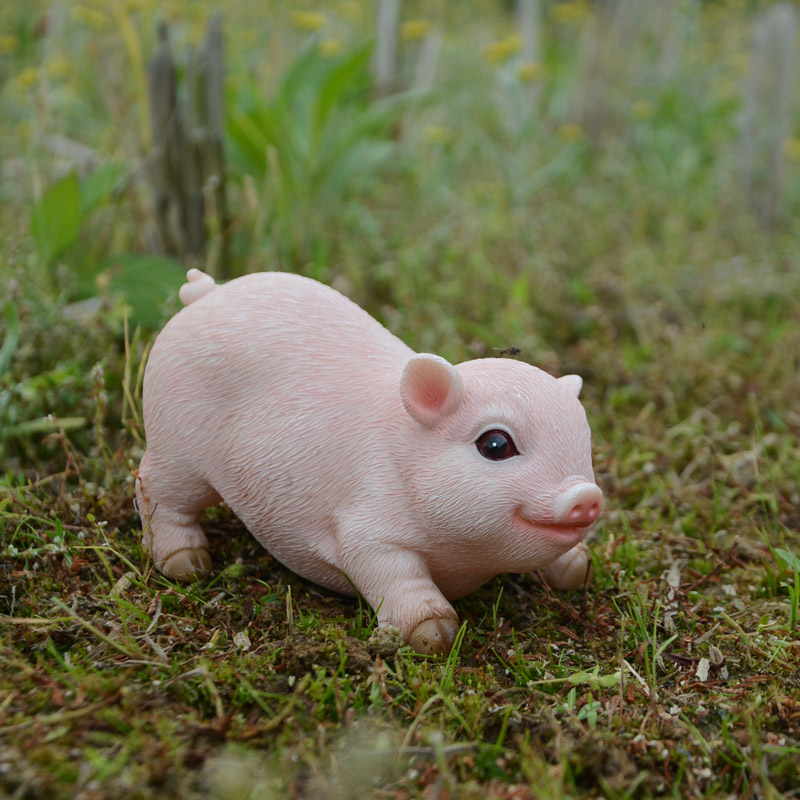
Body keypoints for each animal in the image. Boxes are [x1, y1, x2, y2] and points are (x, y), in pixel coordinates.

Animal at [136, 272, 600, 652]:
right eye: (496, 444)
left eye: (584, 439)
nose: (587, 496)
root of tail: (207, 292)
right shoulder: (365, 524)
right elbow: (387, 568)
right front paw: (436, 635)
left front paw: (578, 570)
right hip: (175, 439)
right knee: (154, 486)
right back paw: (189, 566)